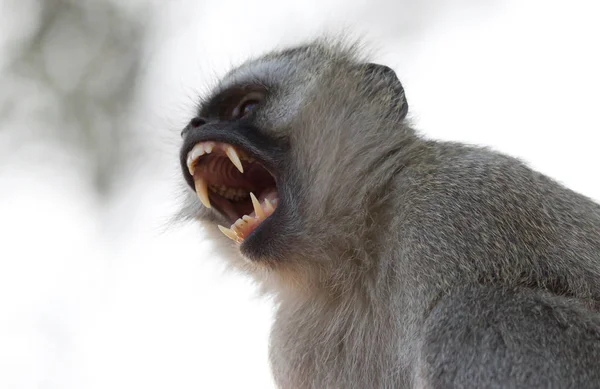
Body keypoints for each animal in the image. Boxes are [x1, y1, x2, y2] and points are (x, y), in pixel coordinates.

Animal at [177, 37, 600, 388]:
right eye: (196, 122)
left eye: (247, 107)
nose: (194, 127)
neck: (352, 259)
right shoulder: (291, 347)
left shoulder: (453, 204)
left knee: (474, 314)